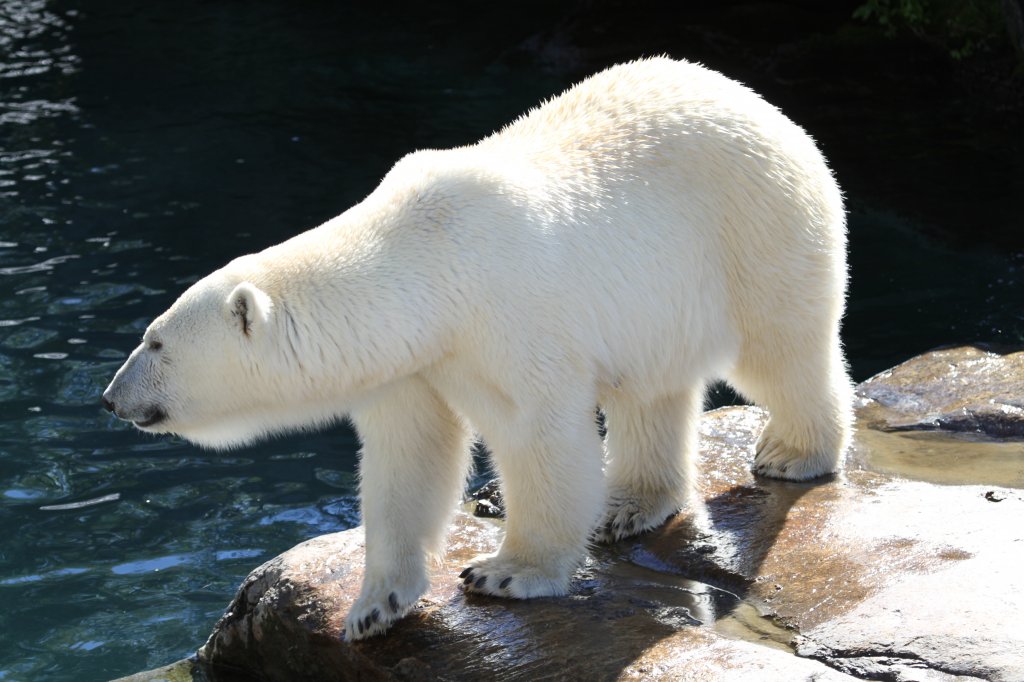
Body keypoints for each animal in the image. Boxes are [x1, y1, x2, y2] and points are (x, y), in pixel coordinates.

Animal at [105, 57, 856, 638]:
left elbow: (539, 433)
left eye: (156, 341)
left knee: (779, 347)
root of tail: (766, 107)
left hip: (750, 228)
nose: (111, 398)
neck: (424, 266)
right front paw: (372, 608)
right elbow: (409, 457)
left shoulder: (507, 314)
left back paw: (794, 452)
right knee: (652, 390)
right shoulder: (412, 361)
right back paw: (628, 504)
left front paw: (506, 572)